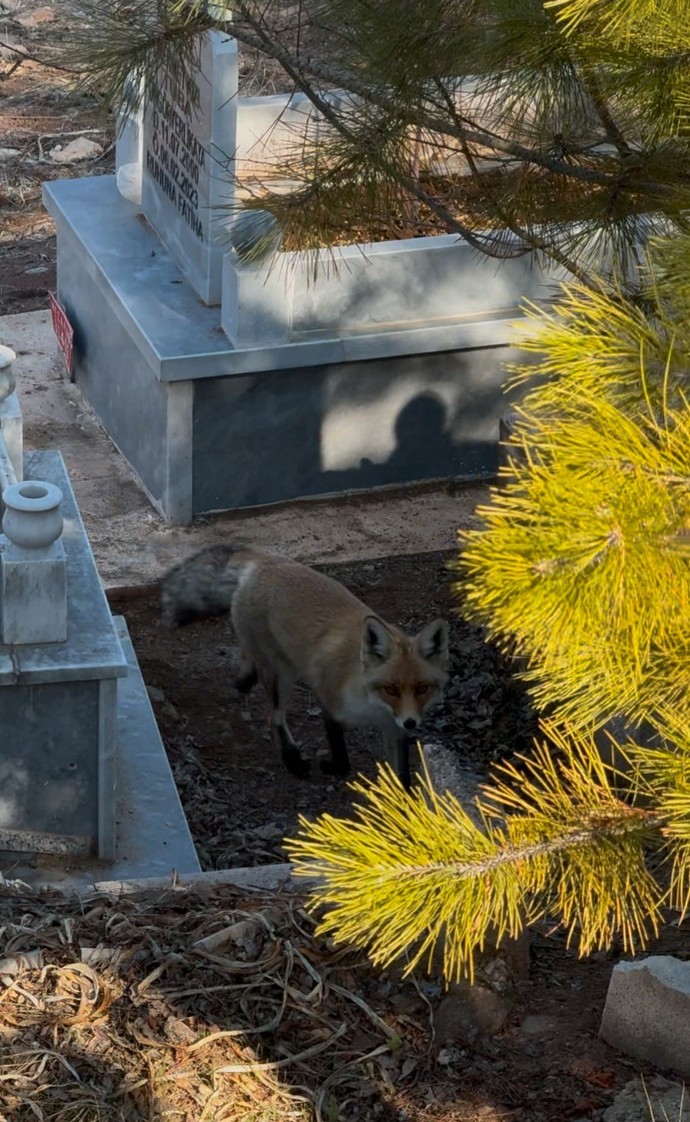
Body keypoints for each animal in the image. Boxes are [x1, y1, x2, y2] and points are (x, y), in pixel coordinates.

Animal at [160, 543, 453, 789]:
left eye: (422, 688)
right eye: (390, 689)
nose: (412, 722)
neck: (372, 707)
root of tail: (265, 559)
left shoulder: (394, 730)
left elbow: (401, 776)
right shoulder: (330, 704)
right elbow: (340, 750)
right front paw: (334, 767)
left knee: (248, 656)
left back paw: (245, 678)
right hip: (281, 674)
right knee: (274, 717)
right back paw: (292, 760)